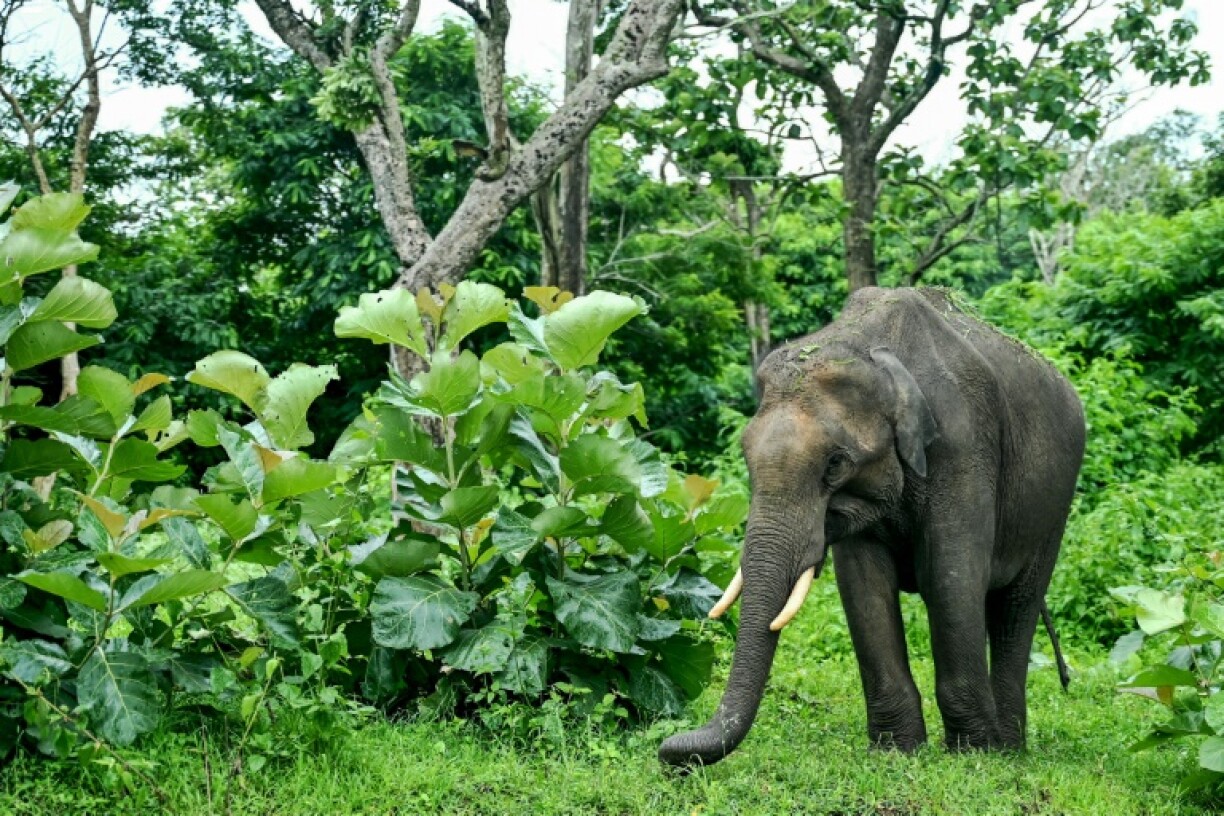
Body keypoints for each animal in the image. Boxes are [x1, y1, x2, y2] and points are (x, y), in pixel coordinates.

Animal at [658, 286, 1085, 767]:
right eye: (745, 455)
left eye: (835, 464)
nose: (670, 753)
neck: (872, 348)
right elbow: (864, 585)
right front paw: (897, 752)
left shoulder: (964, 446)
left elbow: (950, 578)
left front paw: (974, 755)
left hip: (1055, 505)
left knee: (1016, 605)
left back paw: (1008, 749)